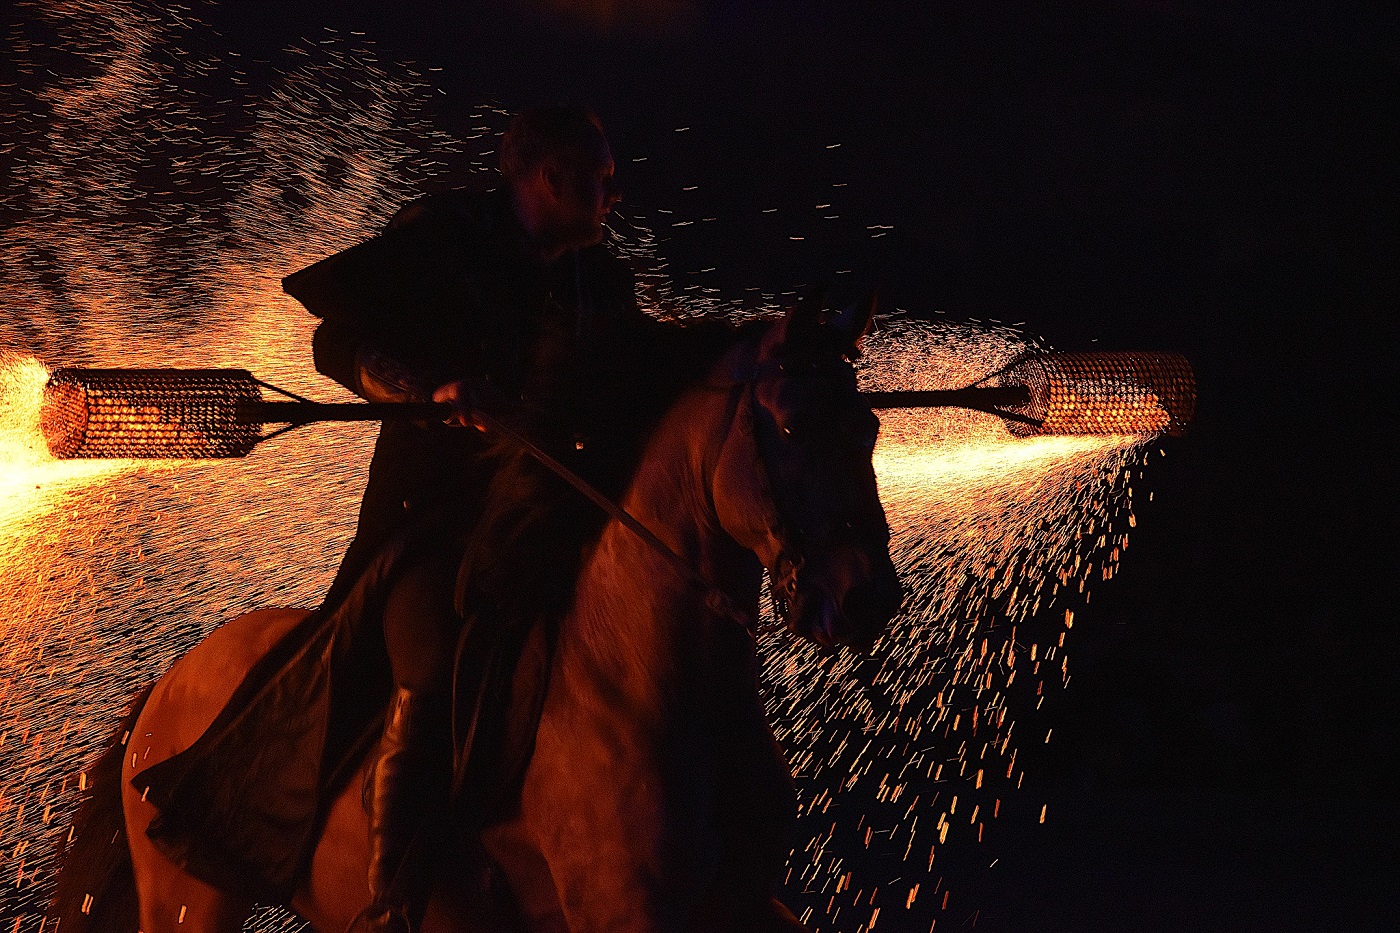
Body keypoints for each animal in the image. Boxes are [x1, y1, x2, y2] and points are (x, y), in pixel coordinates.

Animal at [49, 299, 901, 930]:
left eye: (868, 427)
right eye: (788, 425)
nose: (865, 596)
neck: (640, 676)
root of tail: (165, 686)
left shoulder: (742, 902)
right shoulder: (624, 911)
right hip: (191, 901)